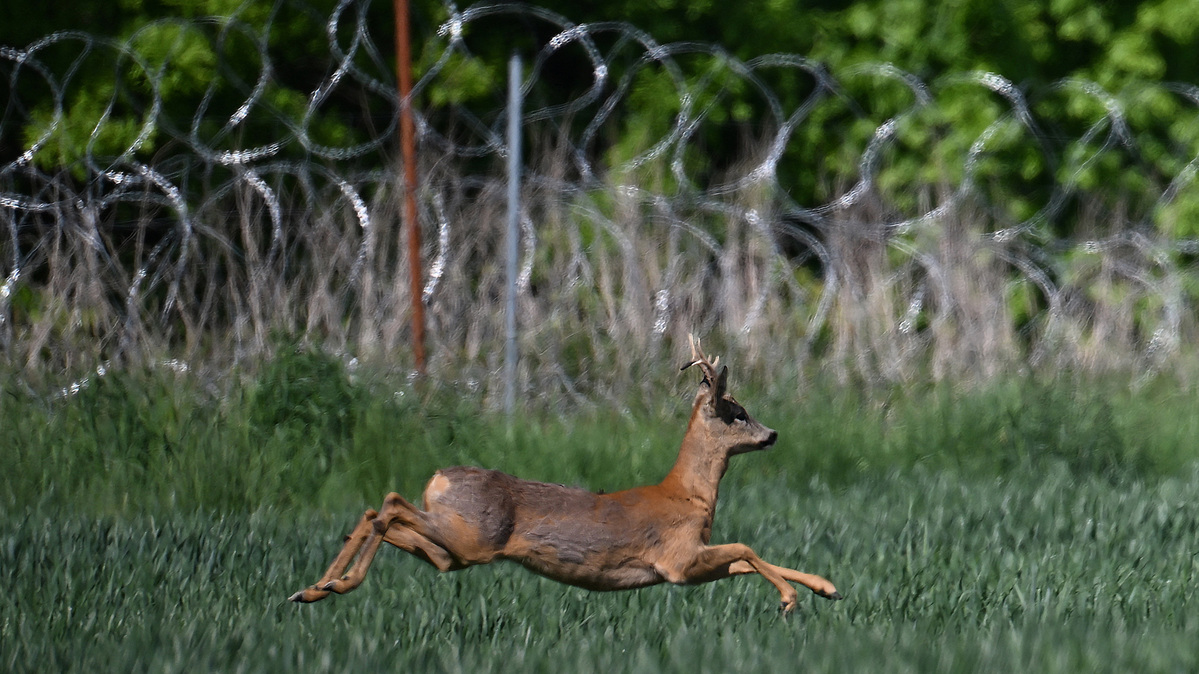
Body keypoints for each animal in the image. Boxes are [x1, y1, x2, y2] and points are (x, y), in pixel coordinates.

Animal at [289, 335, 842, 613]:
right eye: (737, 412)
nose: (773, 434)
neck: (687, 497)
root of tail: (438, 478)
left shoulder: (689, 564)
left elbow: (745, 561)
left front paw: (826, 587)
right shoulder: (677, 560)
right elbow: (747, 549)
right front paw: (792, 599)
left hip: (454, 552)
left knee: (385, 516)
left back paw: (317, 587)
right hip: (472, 537)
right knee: (387, 504)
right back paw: (328, 585)